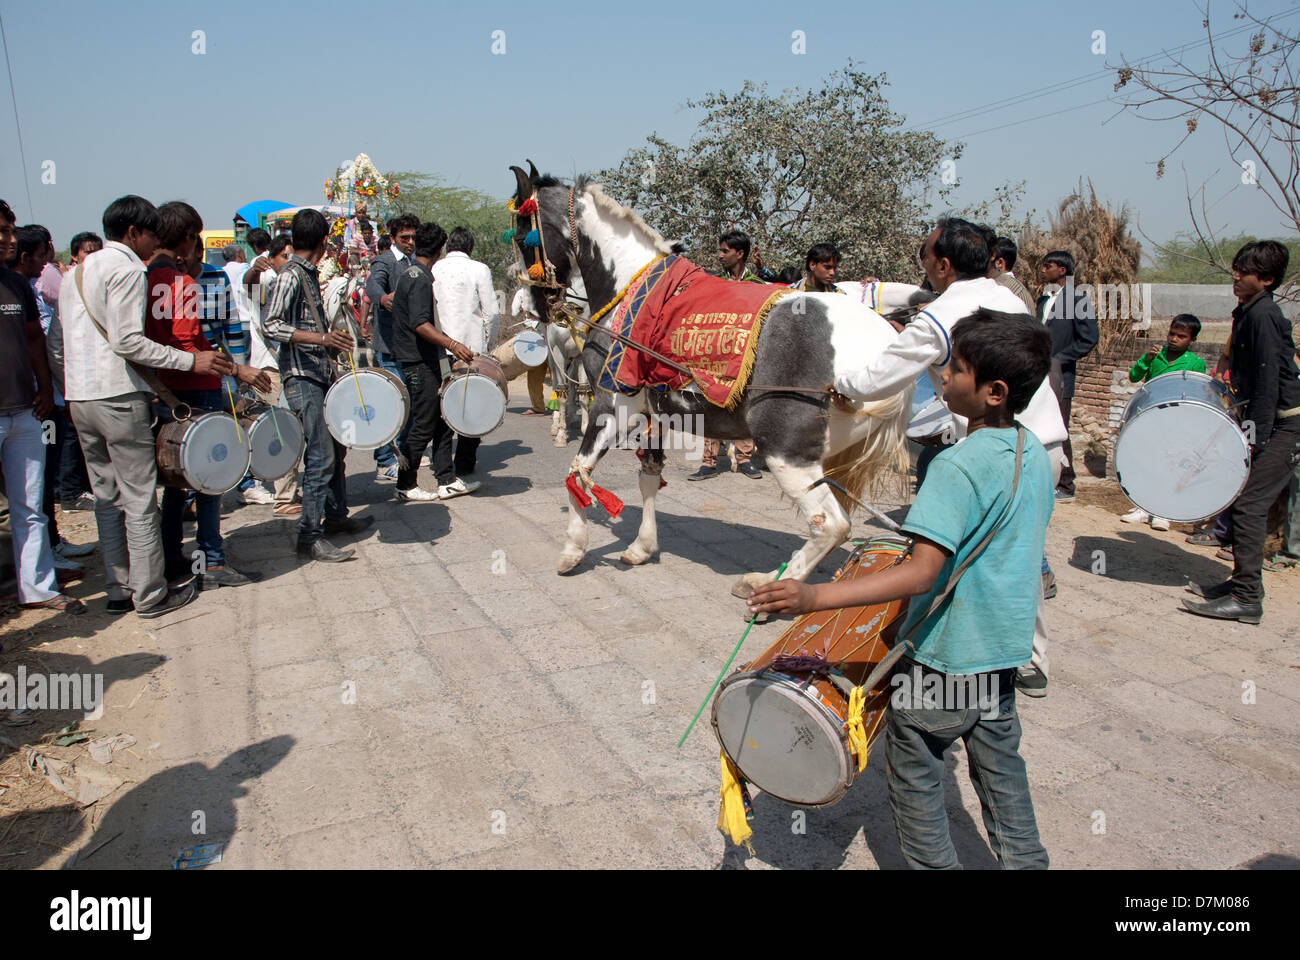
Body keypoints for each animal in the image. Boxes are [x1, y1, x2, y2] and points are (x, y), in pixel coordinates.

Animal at [504, 166, 915, 598]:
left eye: (522, 236)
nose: (536, 306)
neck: (632, 291)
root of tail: (887, 342)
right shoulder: (654, 414)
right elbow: (648, 476)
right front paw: (641, 547)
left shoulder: (613, 403)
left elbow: (578, 471)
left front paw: (573, 549)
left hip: (787, 451)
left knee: (830, 523)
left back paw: (771, 586)